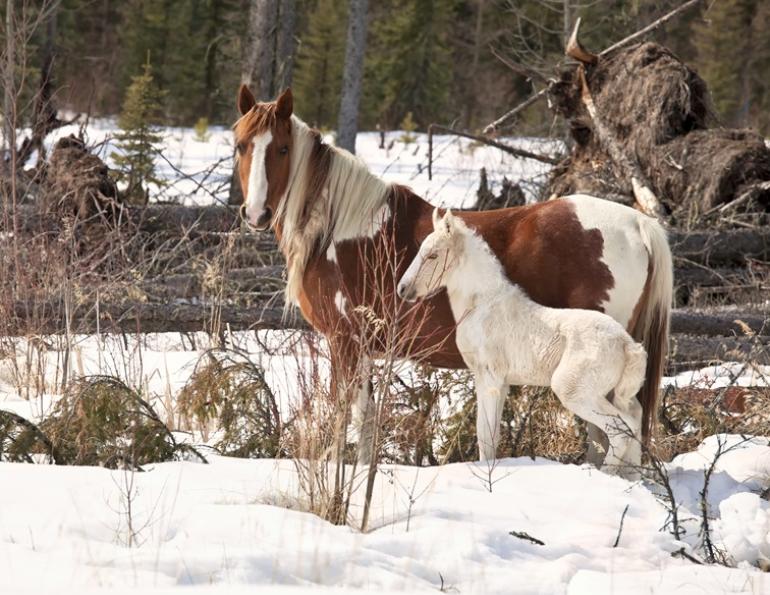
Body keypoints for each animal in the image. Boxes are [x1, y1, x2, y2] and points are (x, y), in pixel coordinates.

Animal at [398, 208, 647, 474]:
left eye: (433, 255)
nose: (403, 289)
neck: (482, 305)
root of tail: (628, 345)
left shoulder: (490, 379)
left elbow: (485, 436)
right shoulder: (498, 383)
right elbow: (490, 435)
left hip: (574, 391)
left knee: (620, 430)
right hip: (616, 394)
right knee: (635, 420)